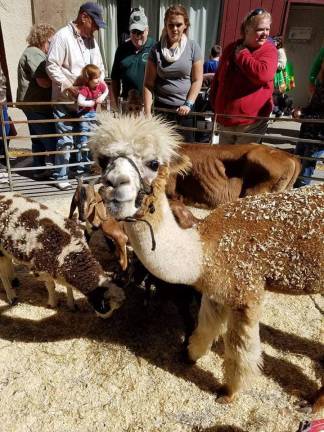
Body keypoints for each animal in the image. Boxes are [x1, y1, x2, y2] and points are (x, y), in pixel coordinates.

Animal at [89, 114, 324, 412]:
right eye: (103, 159)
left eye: (153, 163)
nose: (114, 184)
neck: (202, 250)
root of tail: (292, 157)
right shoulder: (217, 291)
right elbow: (204, 329)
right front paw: (188, 356)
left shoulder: (246, 292)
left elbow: (240, 352)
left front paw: (228, 392)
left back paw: (312, 403)